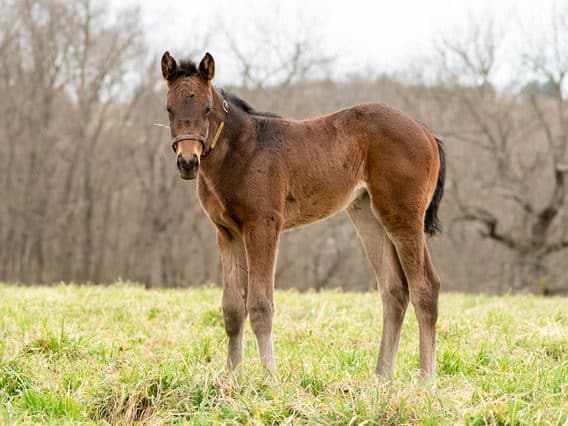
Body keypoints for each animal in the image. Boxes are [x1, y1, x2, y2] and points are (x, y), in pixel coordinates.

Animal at [159, 50, 444, 380]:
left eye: (206, 109)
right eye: (169, 109)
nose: (188, 162)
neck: (244, 151)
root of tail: (426, 131)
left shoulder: (263, 226)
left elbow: (260, 306)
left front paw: (268, 379)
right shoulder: (226, 233)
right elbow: (232, 308)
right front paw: (231, 378)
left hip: (403, 217)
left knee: (425, 287)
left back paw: (425, 381)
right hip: (367, 216)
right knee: (394, 290)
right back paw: (381, 379)